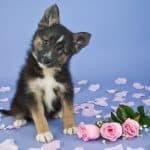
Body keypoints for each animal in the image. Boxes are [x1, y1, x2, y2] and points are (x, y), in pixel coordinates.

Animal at [0, 4, 91, 142]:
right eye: (46, 41)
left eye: (61, 51)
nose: (46, 59)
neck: (47, 72)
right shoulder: (33, 93)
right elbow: (39, 115)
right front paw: (44, 133)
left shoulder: (66, 89)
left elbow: (68, 109)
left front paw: (70, 126)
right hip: (18, 99)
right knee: (16, 110)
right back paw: (19, 119)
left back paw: (58, 113)